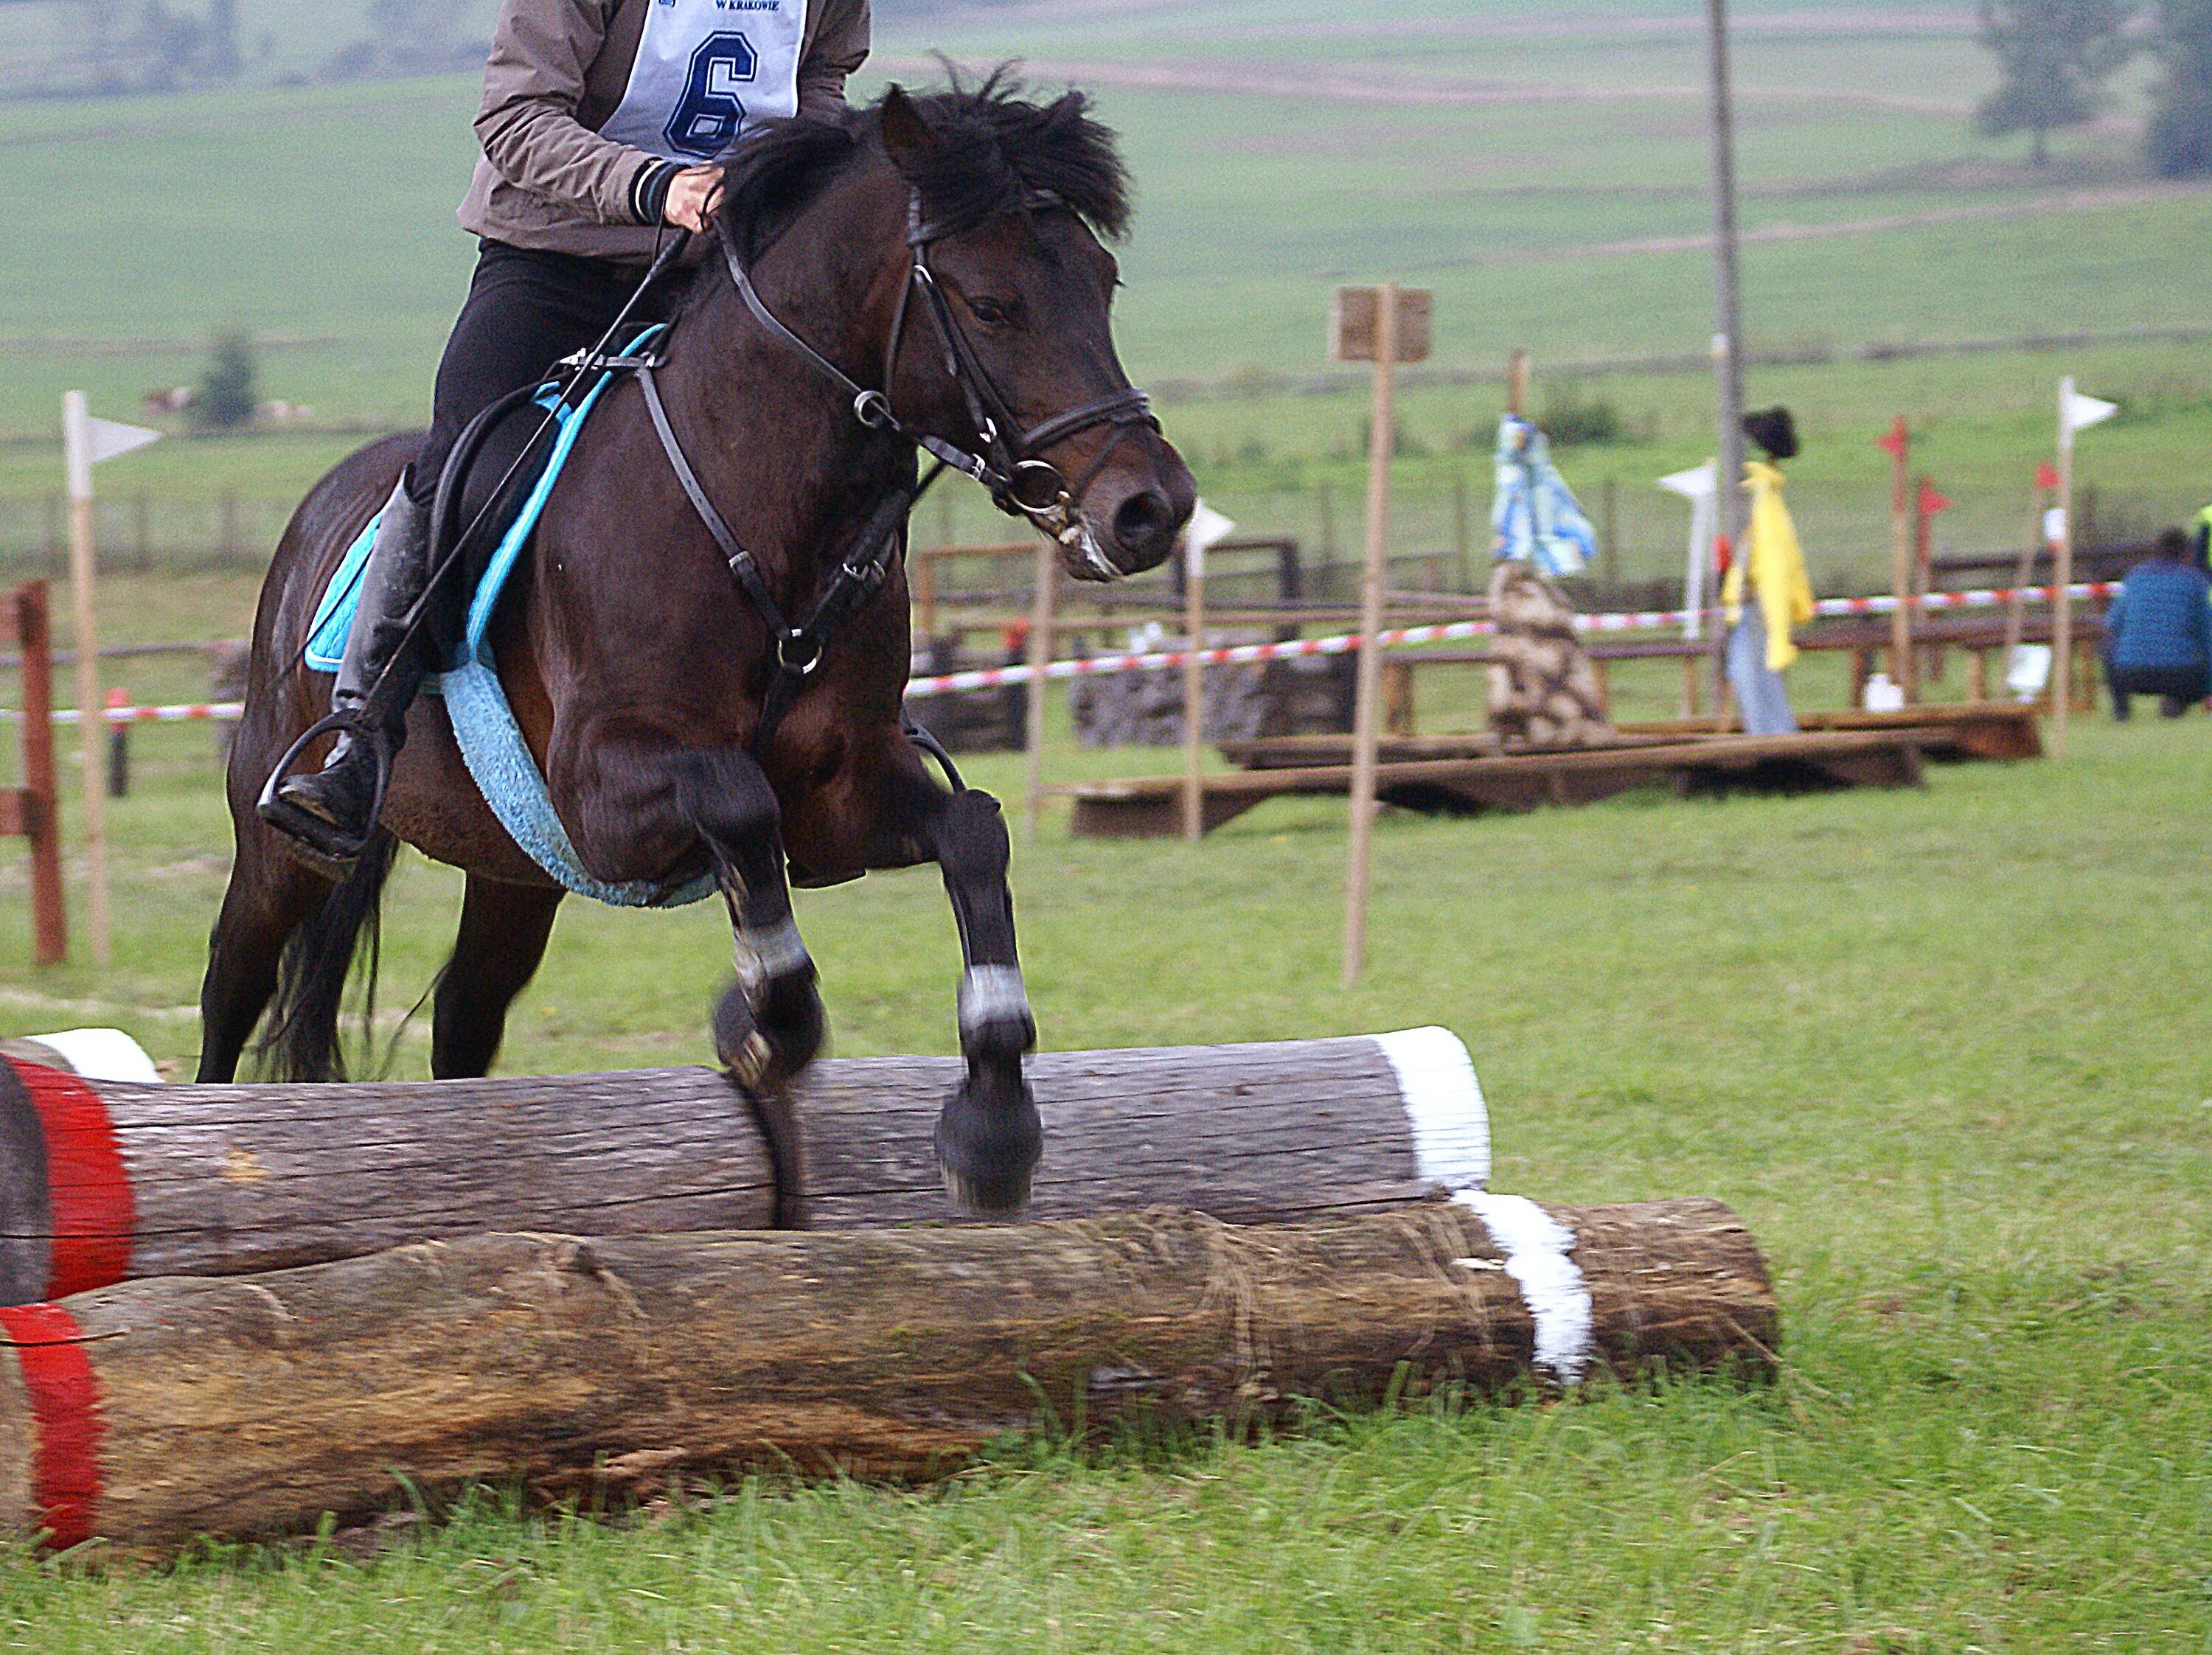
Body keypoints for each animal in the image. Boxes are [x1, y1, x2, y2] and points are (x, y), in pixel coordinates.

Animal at [201, 77, 1203, 1212]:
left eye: (1103, 280)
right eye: (993, 303)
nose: (1150, 509)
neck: (760, 509)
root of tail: (321, 505)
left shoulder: (840, 797)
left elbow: (972, 832)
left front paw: (992, 1126)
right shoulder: (603, 792)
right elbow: (736, 798)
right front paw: (765, 1022)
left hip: (514, 869)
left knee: (465, 1013)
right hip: (281, 836)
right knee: (233, 986)